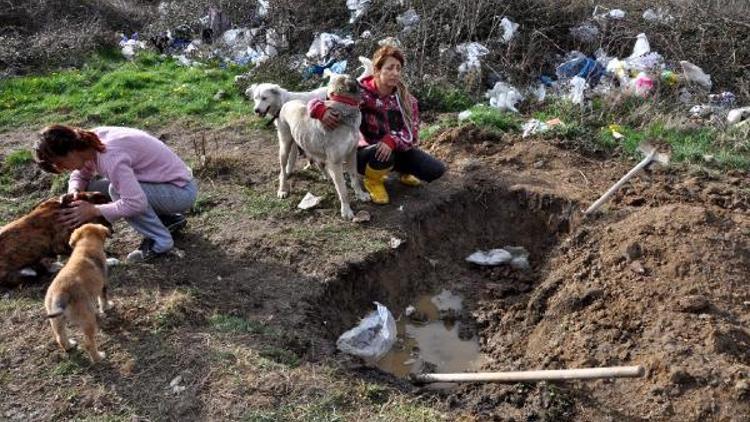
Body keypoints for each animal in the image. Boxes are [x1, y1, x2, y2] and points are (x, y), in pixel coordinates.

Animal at [44, 224, 111, 362]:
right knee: (89, 343)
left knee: (60, 337)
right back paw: (98, 357)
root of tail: (60, 293)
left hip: (57, 320)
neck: (85, 246)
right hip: (87, 320)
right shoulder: (103, 285)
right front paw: (107, 307)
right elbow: (103, 299)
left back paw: (70, 346)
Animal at [274, 73, 372, 219]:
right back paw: (282, 190)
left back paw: (328, 176)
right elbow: (343, 190)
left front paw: (361, 195)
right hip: (285, 147)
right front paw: (346, 210)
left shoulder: (352, 154)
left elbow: (354, 178)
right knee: (282, 170)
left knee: (319, 163)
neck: (343, 105)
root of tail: (286, 103)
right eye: (357, 80)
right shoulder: (336, 162)